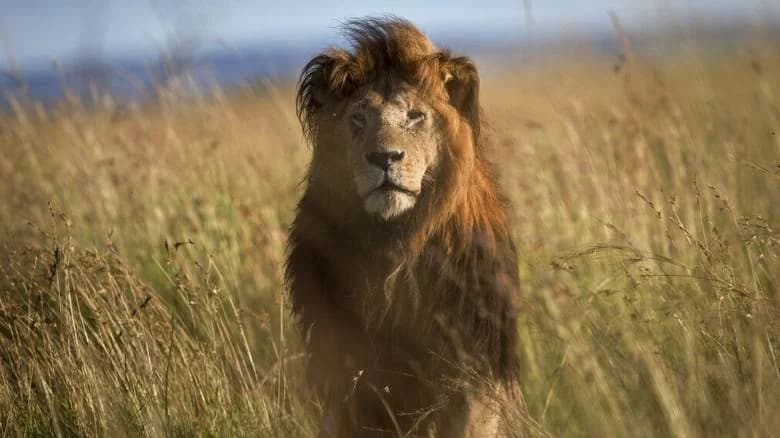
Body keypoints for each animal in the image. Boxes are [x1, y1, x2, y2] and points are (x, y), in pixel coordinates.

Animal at [286, 17, 523, 437]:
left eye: (415, 117)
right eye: (358, 119)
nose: (384, 157)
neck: (395, 243)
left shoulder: (476, 370)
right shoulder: (347, 375)